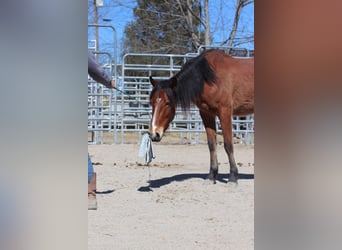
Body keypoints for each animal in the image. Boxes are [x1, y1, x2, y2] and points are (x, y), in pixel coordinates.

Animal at [148, 49, 252, 184]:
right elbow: (212, 145)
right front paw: (211, 176)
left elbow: (228, 145)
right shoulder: (207, 114)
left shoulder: (225, 112)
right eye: (151, 102)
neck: (209, 79)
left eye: (167, 103)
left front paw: (233, 177)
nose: (154, 134)